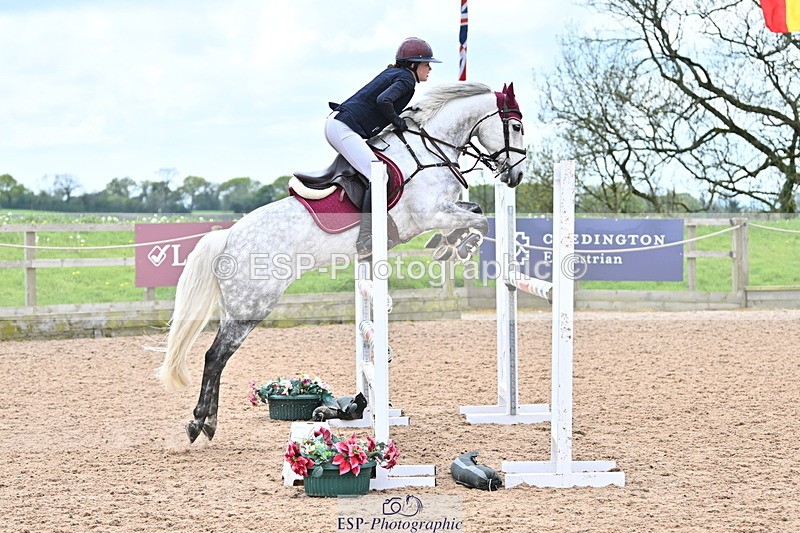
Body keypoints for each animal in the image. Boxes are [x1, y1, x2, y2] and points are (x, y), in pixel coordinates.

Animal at [157, 81, 527, 443]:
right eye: (516, 126)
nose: (516, 176)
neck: (427, 152)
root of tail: (229, 237)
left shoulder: (442, 211)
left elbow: (475, 211)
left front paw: (449, 244)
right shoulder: (430, 214)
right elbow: (480, 219)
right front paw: (457, 246)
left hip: (239, 307)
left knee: (216, 356)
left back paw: (205, 422)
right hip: (250, 307)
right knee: (215, 355)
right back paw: (201, 423)